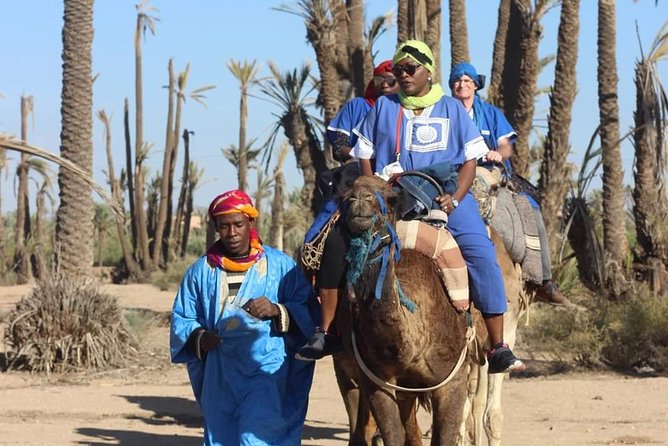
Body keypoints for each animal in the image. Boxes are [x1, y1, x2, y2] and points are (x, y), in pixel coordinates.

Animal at [334, 176, 528, 444]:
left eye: (390, 199)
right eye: (345, 197)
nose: (360, 198)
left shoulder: (451, 381)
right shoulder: (378, 381)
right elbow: (393, 435)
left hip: (503, 330)